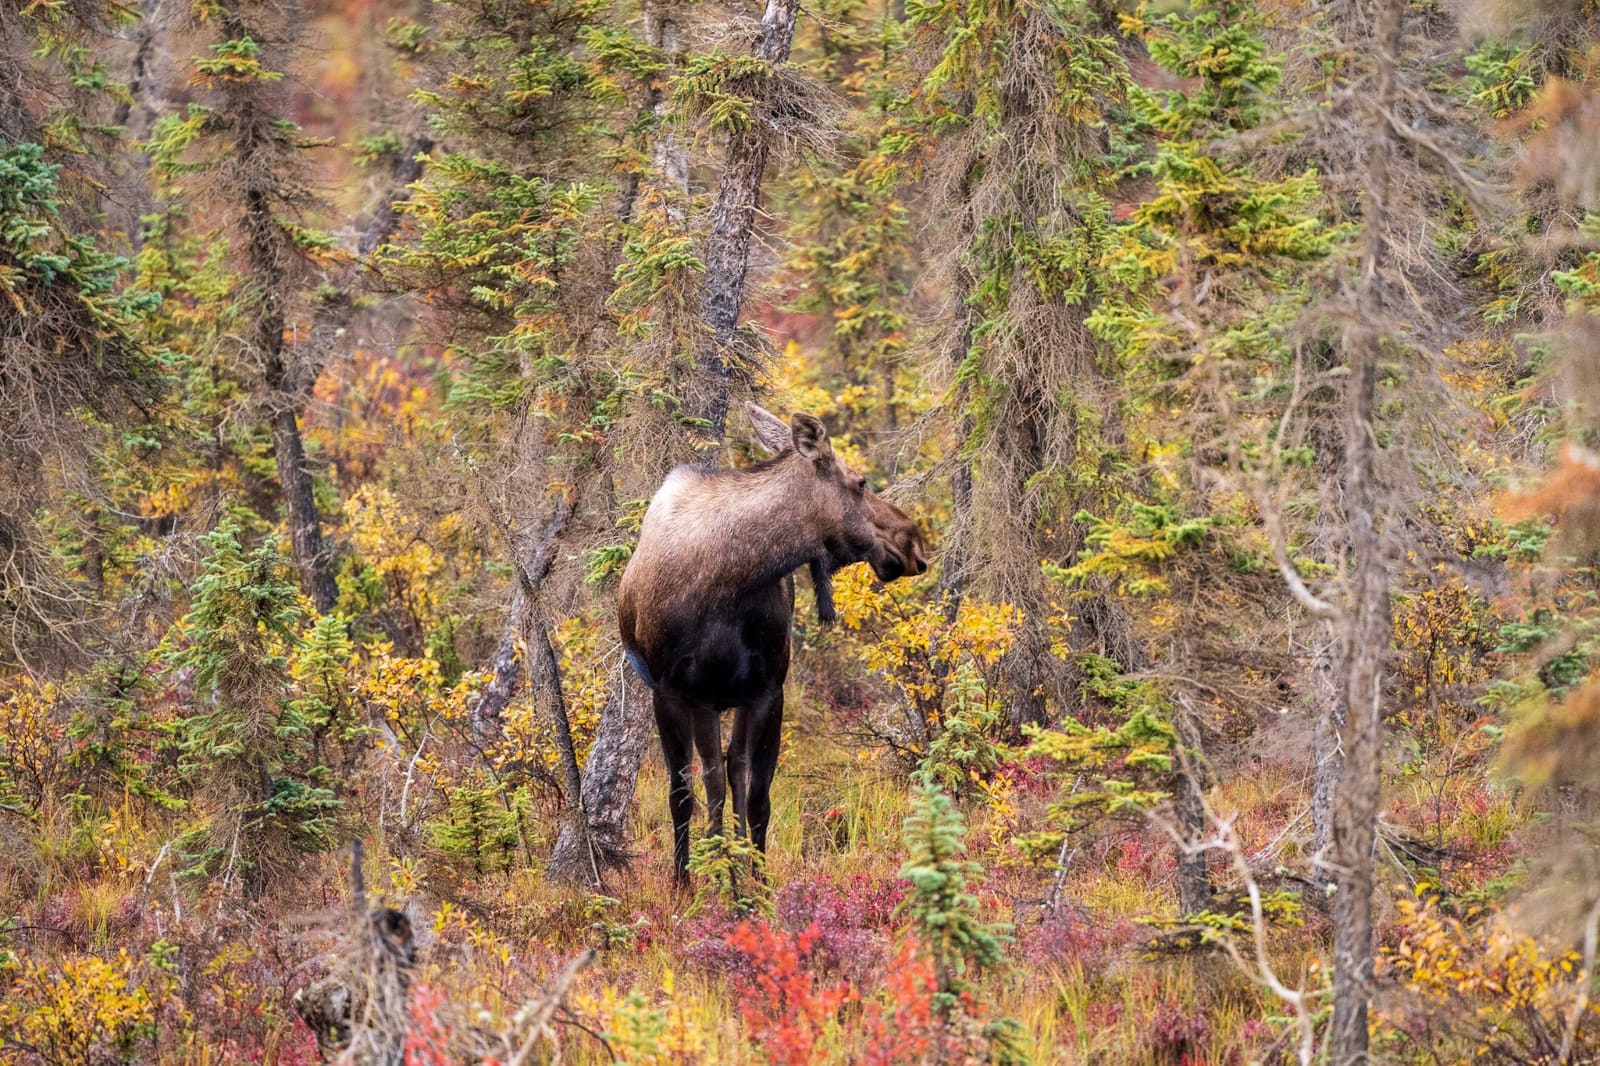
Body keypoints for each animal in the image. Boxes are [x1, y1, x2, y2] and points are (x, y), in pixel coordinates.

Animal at [618, 404, 928, 882]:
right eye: (860, 482)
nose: (913, 542)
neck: (728, 582)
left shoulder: (767, 690)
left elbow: (758, 798)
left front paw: (756, 883)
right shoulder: (672, 692)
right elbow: (681, 794)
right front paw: (685, 882)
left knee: (731, 769)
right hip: (703, 700)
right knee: (712, 776)